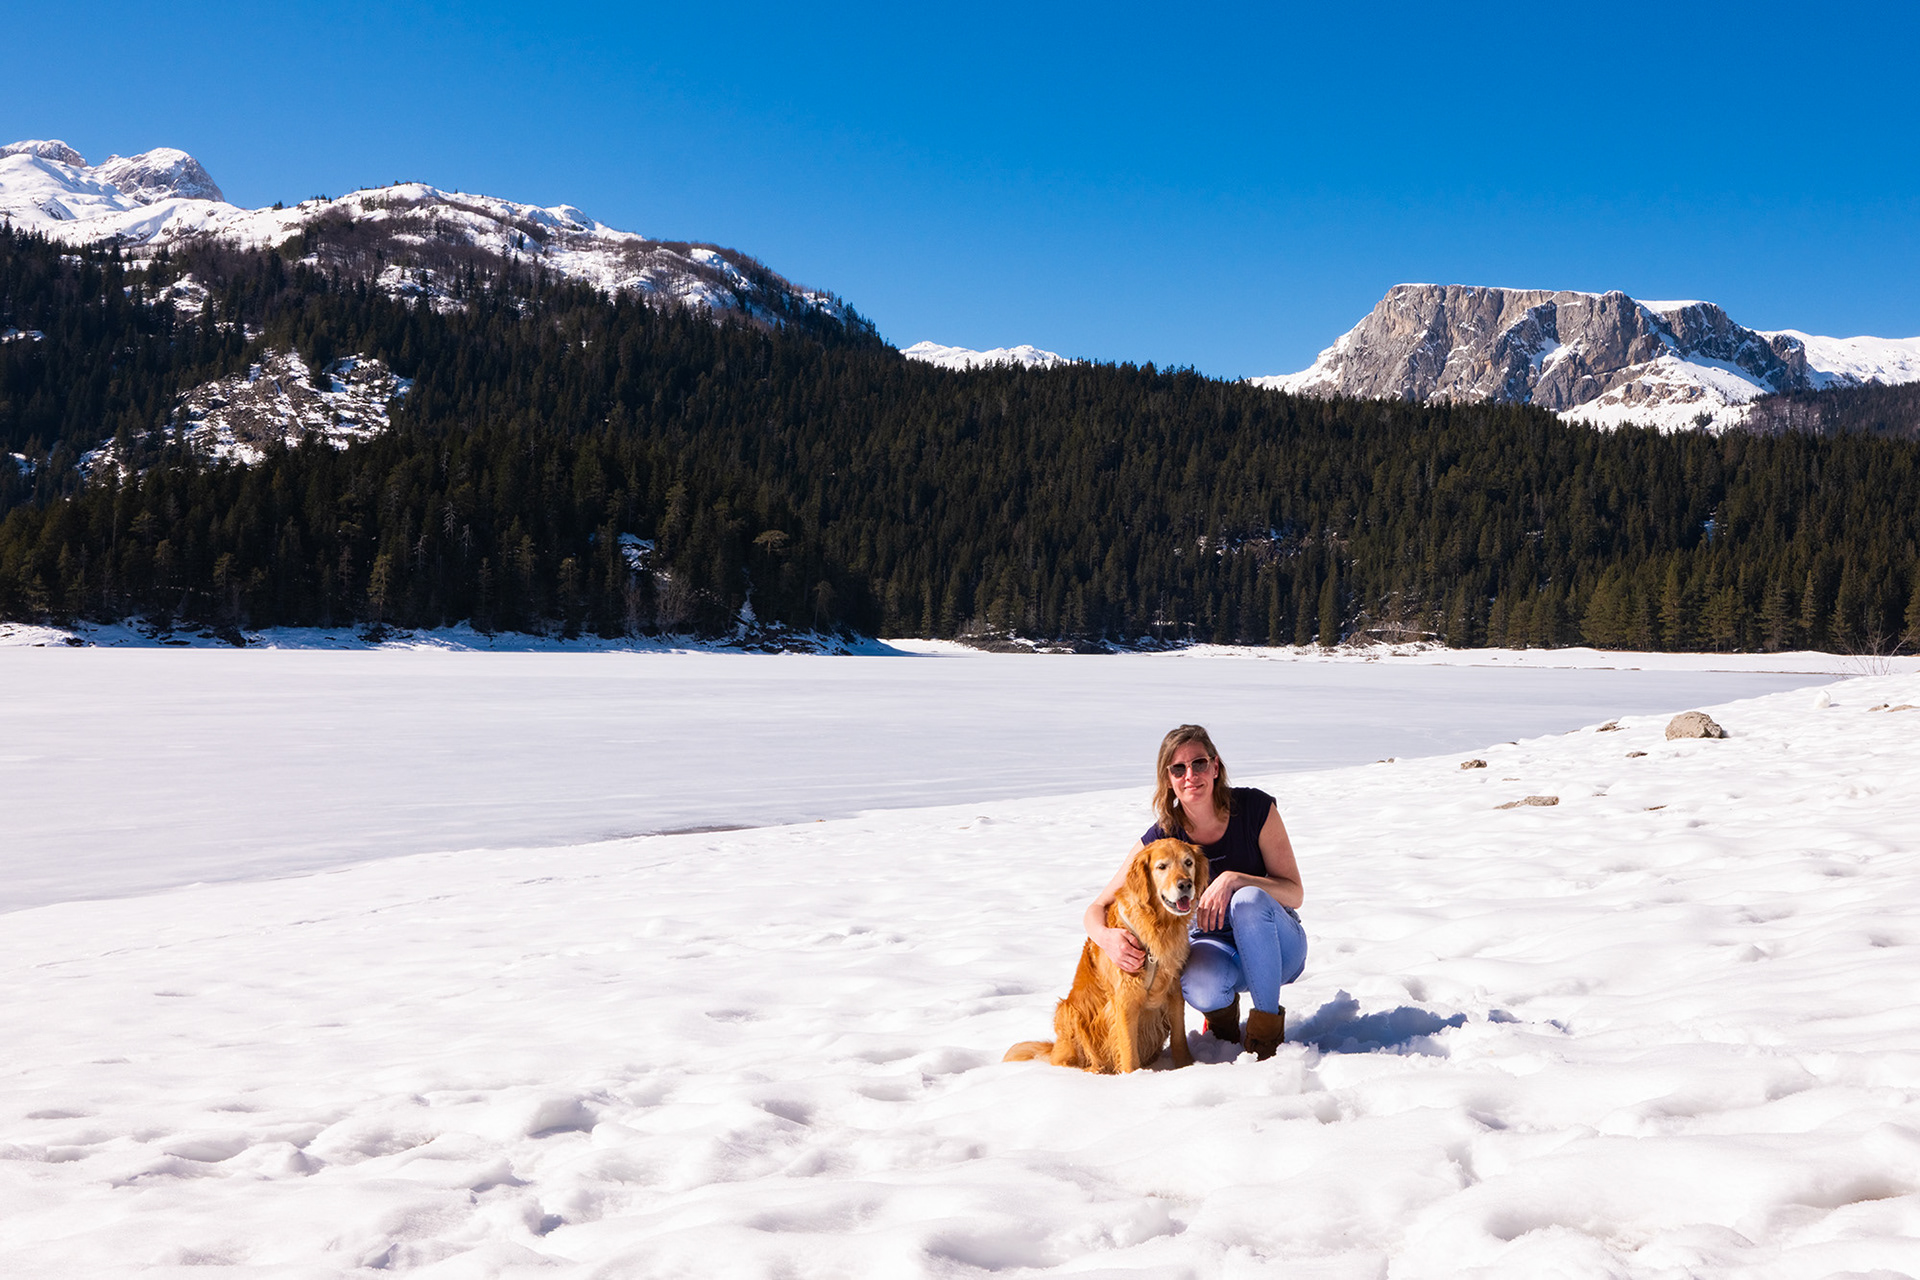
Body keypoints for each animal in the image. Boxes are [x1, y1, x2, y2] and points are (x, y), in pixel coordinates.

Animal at [1005, 838, 1208, 1073]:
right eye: (1162, 867)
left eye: (1188, 863)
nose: (1185, 885)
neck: (1158, 926)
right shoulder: (1125, 999)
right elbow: (1129, 1052)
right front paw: (1135, 1077)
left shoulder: (1174, 991)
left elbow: (1179, 1039)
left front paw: (1186, 1067)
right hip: (1068, 1012)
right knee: (1067, 1060)